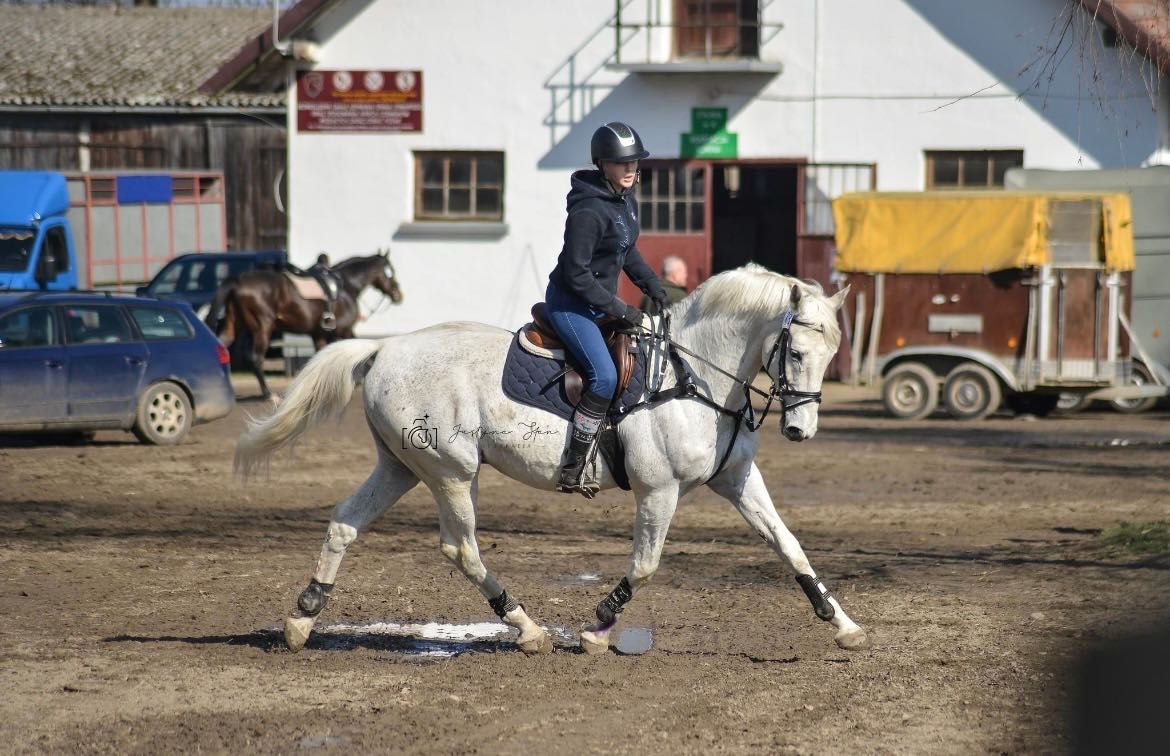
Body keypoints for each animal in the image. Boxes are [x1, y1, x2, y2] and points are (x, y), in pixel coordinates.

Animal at [203, 251, 400, 400]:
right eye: (390, 271)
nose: (398, 294)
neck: (346, 286)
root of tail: (238, 280)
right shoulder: (344, 331)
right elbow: (364, 354)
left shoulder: (318, 334)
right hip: (262, 327)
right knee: (256, 358)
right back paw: (268, 394)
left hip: (234, 325)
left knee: (221, 347)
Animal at [237, 266, 870, 655]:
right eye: (796, 351)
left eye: (833, 351)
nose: (800, 429)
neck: (694, 374)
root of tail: (385, 346)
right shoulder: (659, 490)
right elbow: (645, 564)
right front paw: (597, 629)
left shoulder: (738, 480)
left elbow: (789, 545)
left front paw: (842, 625)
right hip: (451, 472)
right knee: (461, 548)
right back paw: (527, 628)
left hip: (400, 468)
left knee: (346, 521)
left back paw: (302, 619)